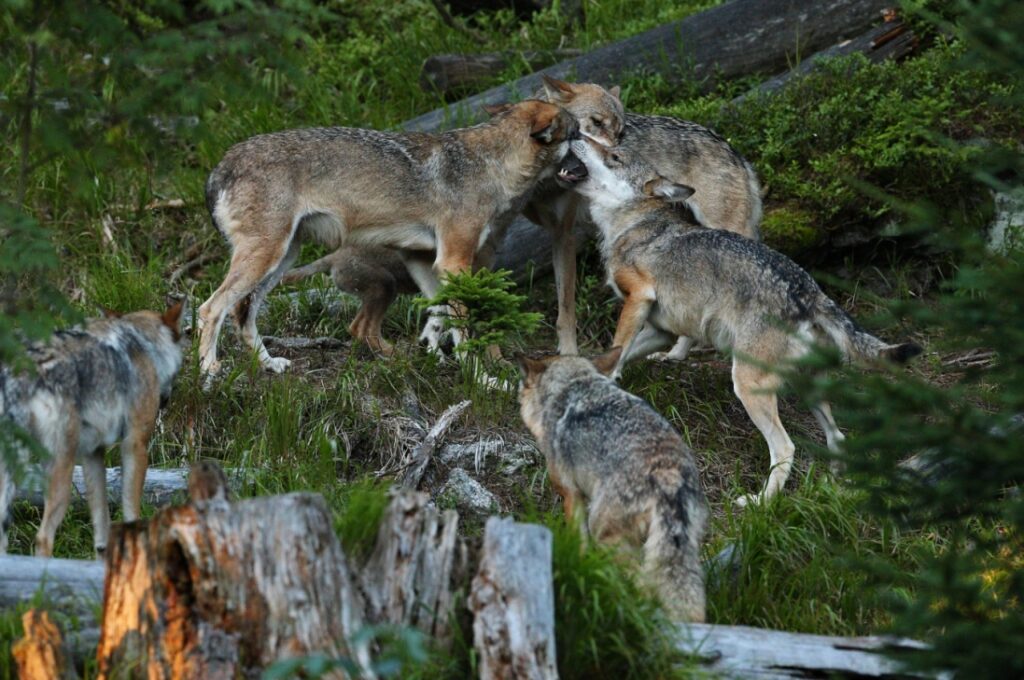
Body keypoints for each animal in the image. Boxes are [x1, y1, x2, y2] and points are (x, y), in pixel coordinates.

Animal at [1, 303, 184, 557]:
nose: (165, 401)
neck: (142, 343)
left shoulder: (93, 453)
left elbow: (101, 524)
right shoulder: (135, 444)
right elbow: (131, 511)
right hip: (61, 471)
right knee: (43, 537)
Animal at [197, 100, 577, 374]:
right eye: (578, 135)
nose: (590, 164)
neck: (491, 165)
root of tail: (220, 167)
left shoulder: (424, 260)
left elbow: (439, 315)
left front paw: (432, 355)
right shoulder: (453, 261)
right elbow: (463, 326)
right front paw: (483, 378)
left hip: (281, 259)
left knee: (242, 313)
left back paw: (268, 364)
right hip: (266, 259)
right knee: (210, 308)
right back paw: (208, 371)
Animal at [516, 350, 708, 622]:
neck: (572, 385)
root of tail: (668, 476)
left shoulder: (571, 495)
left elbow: (579, 542)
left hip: (605, 534)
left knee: (643, 583)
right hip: (675, 547)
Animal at [528, 76, 761, 356]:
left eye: (620, 132)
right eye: (596, 122)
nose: (621, 155)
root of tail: (734, 152)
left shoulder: (566, 234)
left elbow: (566, 310)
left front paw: (569, 354)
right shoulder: (554, 233)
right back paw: (675, 355)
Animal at [557, 139, 925, 503]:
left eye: (614, 155)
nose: (576, 134)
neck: (632, 224)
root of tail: (809, 292)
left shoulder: (639, 298)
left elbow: (617, 347)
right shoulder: (662, 331)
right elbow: (617, 353)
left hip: (747, 385)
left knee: (786, 448)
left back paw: (760, 502)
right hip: (808, 389)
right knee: (838, 437)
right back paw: (836, 485)